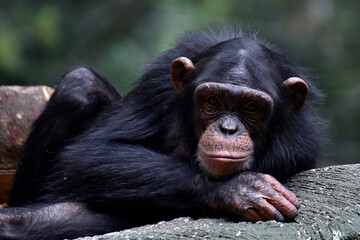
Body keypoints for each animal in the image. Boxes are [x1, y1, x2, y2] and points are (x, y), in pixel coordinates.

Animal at [0, 27, 324, 238]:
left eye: (252, 108)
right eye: (213, 101)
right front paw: (238, 189)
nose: (228, 128)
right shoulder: (156, 87)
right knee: (80, 85)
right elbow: (87, 155)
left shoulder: (295, 146)